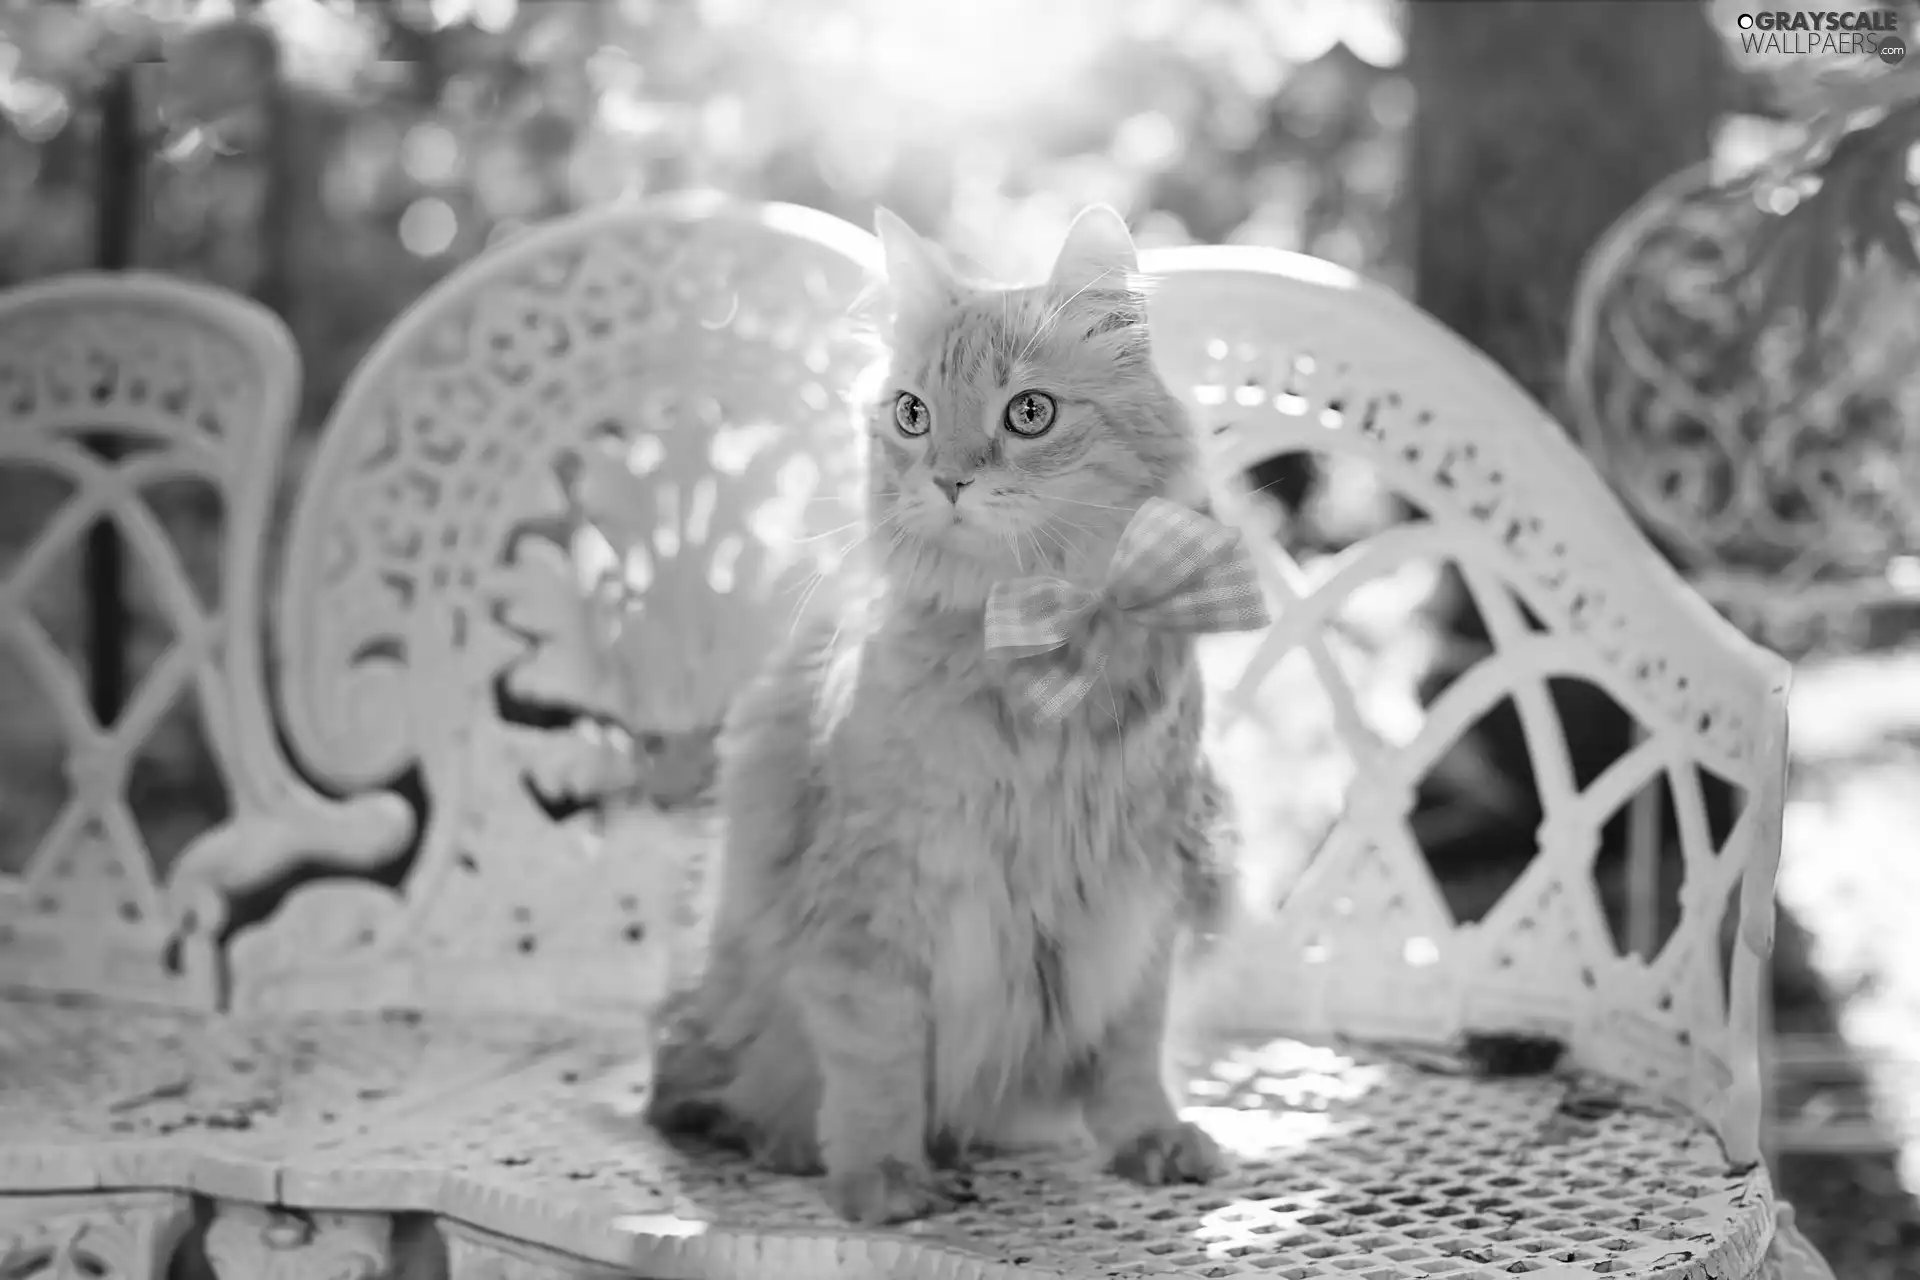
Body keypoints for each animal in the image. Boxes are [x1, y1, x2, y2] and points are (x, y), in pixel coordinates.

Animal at [645, 205, 1236, 1228]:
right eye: (911, 415)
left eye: (1028, 413)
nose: (950, 479)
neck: (1039, 662)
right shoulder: (875, 908)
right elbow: (876, 1060)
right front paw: (881, 1177)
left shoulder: (1143, 893)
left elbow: (1130, 1048)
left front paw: (1149, 1139)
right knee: (712, 1096)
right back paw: (798, 1144)